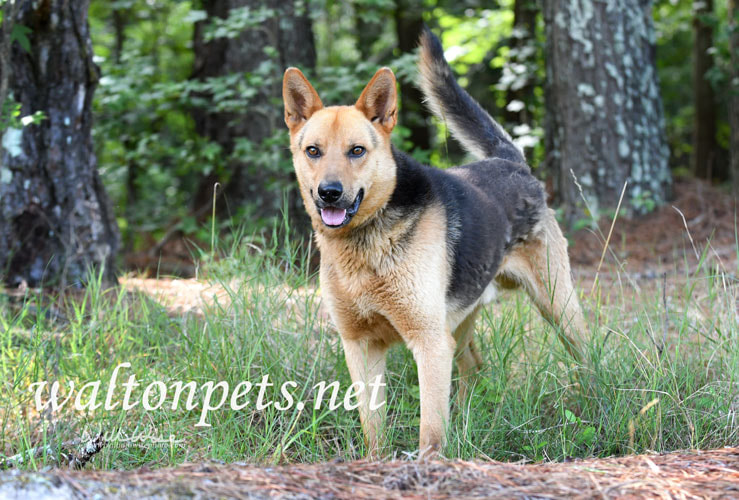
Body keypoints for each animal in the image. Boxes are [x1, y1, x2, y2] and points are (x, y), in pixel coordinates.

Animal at [280, 26, 588, 458]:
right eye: (313, 151)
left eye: (357, 151)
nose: (329, 193)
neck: (366, 244)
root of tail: (511, 162)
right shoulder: (360, 346)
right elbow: (373, 428)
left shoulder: (428, 342)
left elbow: (430, 432)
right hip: (462, 323)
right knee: (474, 367)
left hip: (557, 307)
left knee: (587, 356)